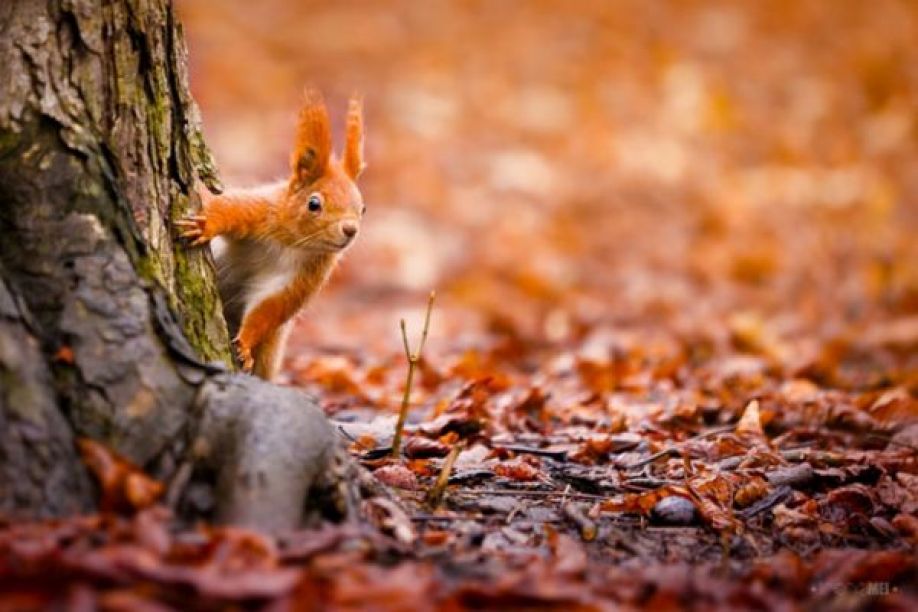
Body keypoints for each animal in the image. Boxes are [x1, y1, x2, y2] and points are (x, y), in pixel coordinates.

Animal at [178, 89, 364, 378]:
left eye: (363, 208)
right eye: (313, 204)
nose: (350, 230)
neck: (292, 242)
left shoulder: (305, 276)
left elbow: (270, 308)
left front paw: (244, 344)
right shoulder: (261, 212)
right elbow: (228, 208)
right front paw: (205, 224)